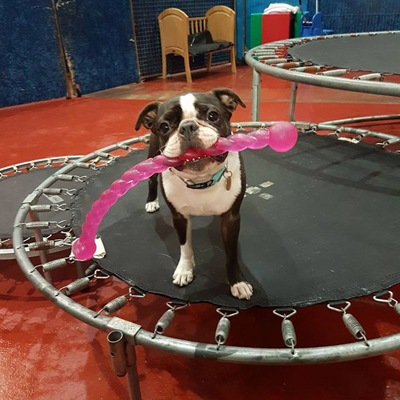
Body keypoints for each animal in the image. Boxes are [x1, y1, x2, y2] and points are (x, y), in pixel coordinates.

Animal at [134, 88, 253, 300]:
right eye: (164, 126)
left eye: (212, 116)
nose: (187, 127)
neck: (201, 181)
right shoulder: (179, 217)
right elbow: (185, 247)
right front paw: (185, 270)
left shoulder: (231, 218)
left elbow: (231, 254)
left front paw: (237, 282)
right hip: (152, 157)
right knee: (151, 181)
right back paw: (151, 201)